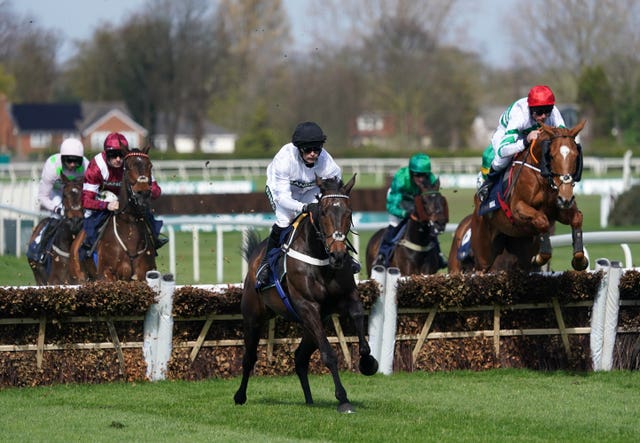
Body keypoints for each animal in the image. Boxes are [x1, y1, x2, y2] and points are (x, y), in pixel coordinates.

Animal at [70, 147, 158, 282]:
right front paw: (112, 205)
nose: (143, 193)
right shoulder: (106, 274)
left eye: (150, 165)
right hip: (80, 277)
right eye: (128, 167)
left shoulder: (143, 274)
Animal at [234, 175, 378, 414]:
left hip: (313, 323)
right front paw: (343, 399)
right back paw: (239, 396)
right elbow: (328, 354)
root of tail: (254, 257)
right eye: (324, 212)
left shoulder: (346, 298)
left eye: (348, 212)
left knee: (300, 357)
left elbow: (359, 322)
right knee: (249, 357)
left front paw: (368, 363)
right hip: (253, 317)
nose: (338, 255)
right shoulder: (307, 306)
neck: (321, 258)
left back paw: (309, 400)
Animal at [468, 121, 588, 274]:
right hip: (483, 254)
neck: (542, 178)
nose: (566, 198)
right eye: (552, 156)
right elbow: (542, 220)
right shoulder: (517, 208)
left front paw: (580, 261)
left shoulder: (558, 209)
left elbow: (577, 218)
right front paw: (538, 258)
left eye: (576, 155)